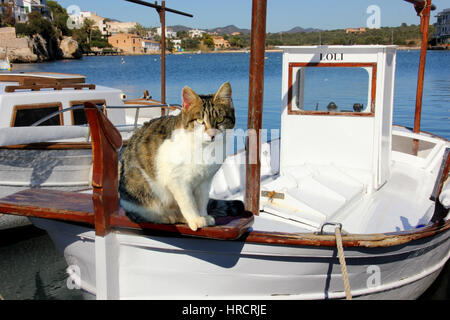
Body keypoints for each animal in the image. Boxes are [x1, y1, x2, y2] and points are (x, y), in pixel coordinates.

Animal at [119, 82, 236, 231]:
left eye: (220, 119)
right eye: (199, 120)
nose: (212, 134)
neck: (204, 148)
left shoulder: (205, 180)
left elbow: (202, 200)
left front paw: (203, 215)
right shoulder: (177, 180)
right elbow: (188, 202)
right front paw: (195, 218)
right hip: (141, 189)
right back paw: (171, 217)